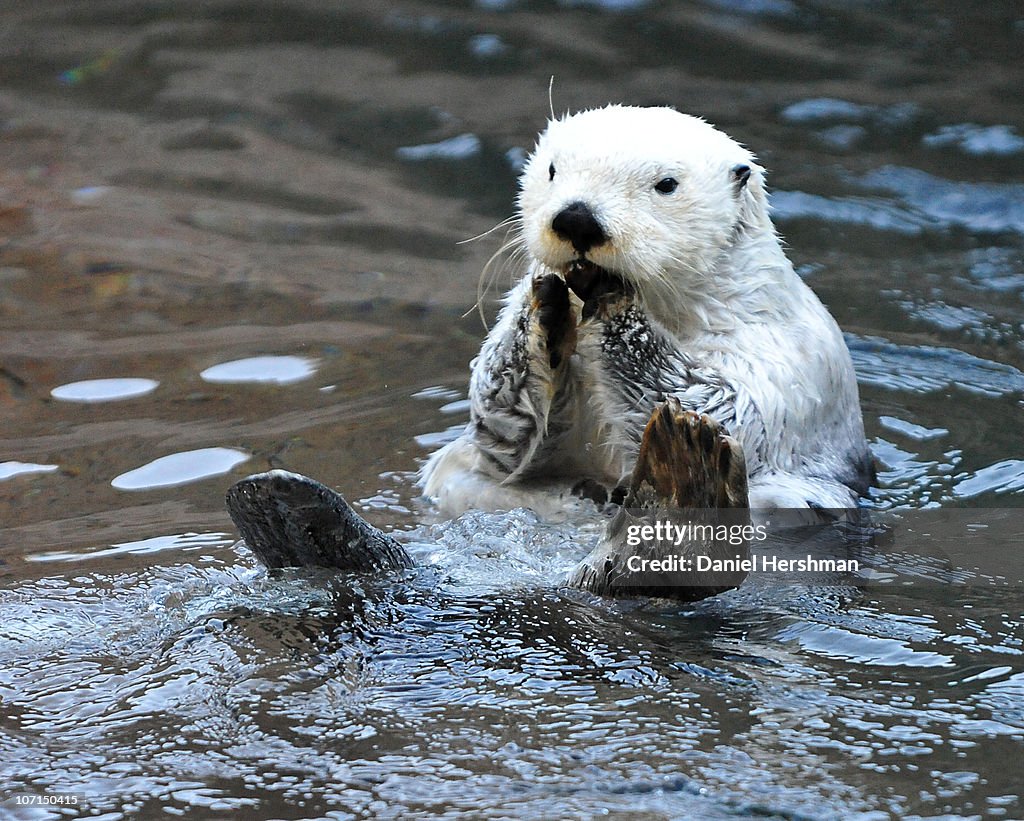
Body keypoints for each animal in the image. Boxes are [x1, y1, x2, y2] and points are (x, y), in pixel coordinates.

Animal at [419, 105, 868, 515]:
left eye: (666, 184)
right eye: (551, 169)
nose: (577, 218)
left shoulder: (783, 359)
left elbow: (726, 411)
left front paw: (615, 301)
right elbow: (500, 426)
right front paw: (543, 305)